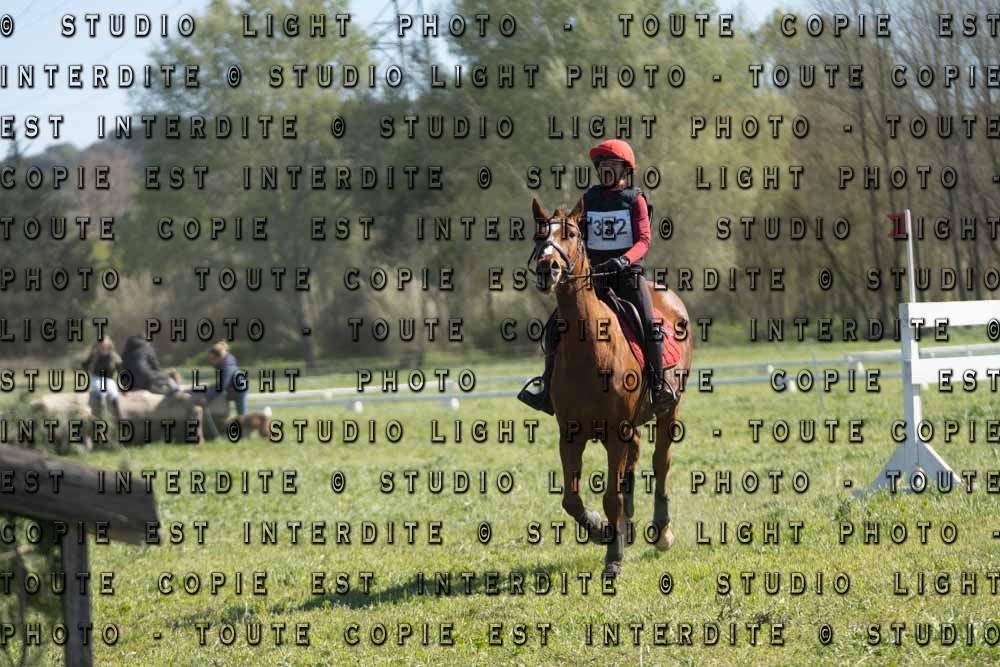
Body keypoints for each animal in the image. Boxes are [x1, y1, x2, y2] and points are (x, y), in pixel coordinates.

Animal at [528, 196, 695, 578]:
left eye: (572, 233)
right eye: (539, 234)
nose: (547, 269)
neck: (589, 346)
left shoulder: (615, 433)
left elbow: (611, 496)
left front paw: (613, 557)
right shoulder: (571, 434)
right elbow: (571, 498)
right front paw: (601, 529)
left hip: (670, 408)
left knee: (661, 461)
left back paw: (662, 531)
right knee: (635, 459)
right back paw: (627, 527)